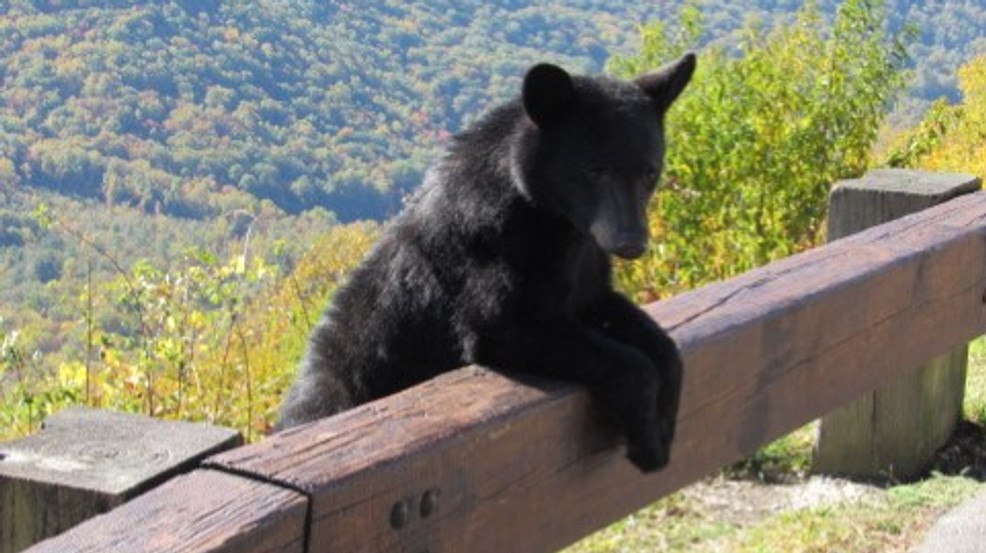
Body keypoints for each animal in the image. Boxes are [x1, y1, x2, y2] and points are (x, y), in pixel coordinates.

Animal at [276, 53, 696, 472]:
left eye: (650, 170)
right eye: (595, 170)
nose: (632, 242)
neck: (558, 225)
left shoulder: (586, 271)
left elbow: (650, 338)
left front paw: (665, 419)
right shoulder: (495, 252)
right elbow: (506, 327)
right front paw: (647, 438)